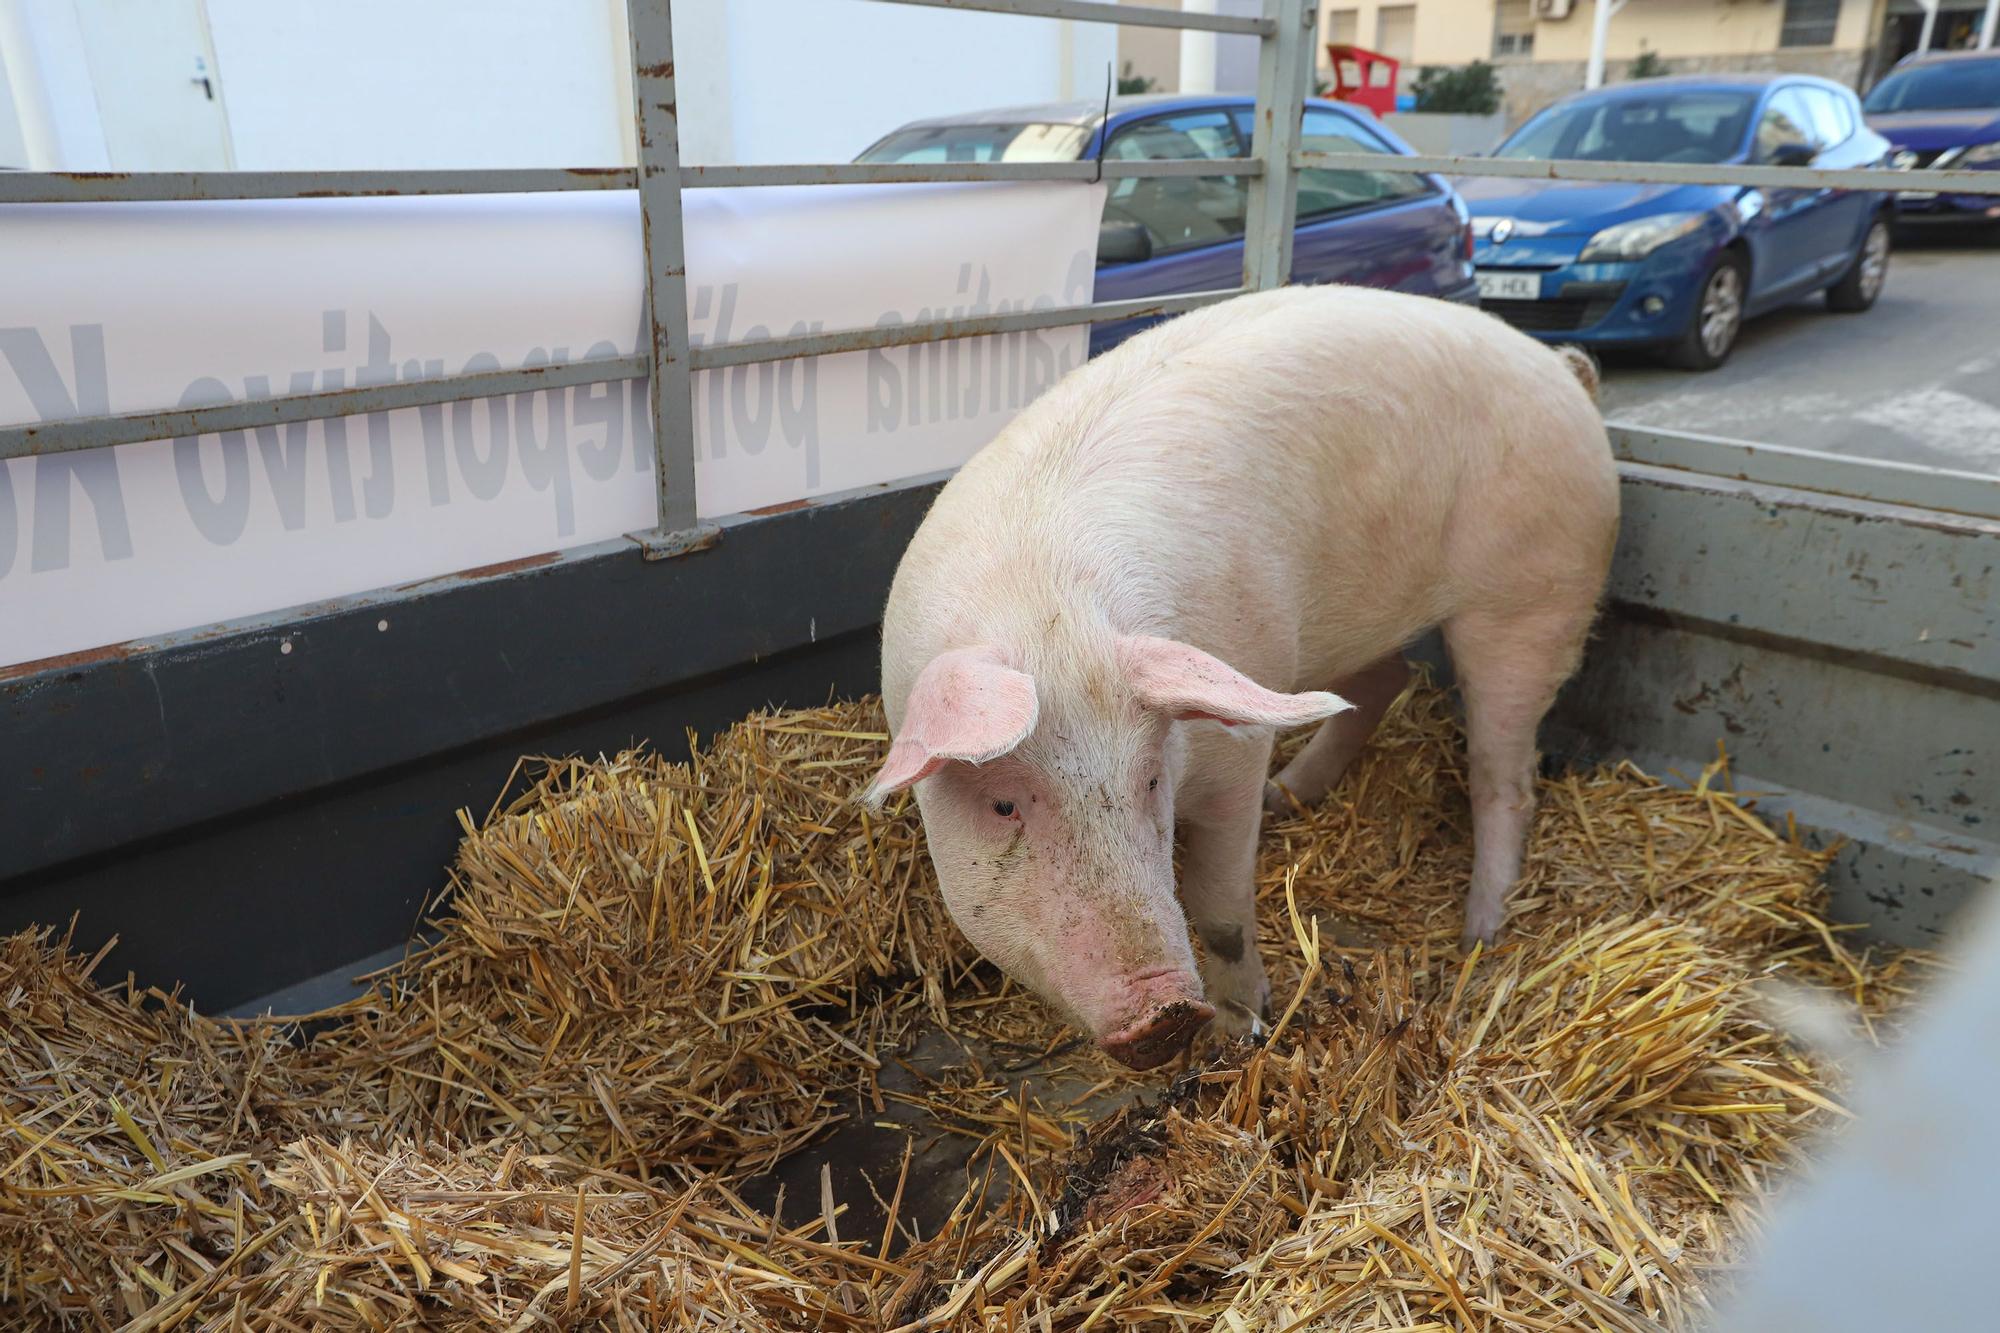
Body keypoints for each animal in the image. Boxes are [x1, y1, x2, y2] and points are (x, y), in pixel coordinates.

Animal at [868, 282, 1616, 1072]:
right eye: (1004, 804)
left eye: (1149, 781)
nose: (1164, 1014)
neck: (1046, 610)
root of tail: (1563, 372)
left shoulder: (1237, 745)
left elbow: (1220, 906)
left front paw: (1244, 1025)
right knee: (1382, 680)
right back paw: (1288, 797)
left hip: (1533, 598)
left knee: (1506, 774)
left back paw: (1481, 932)